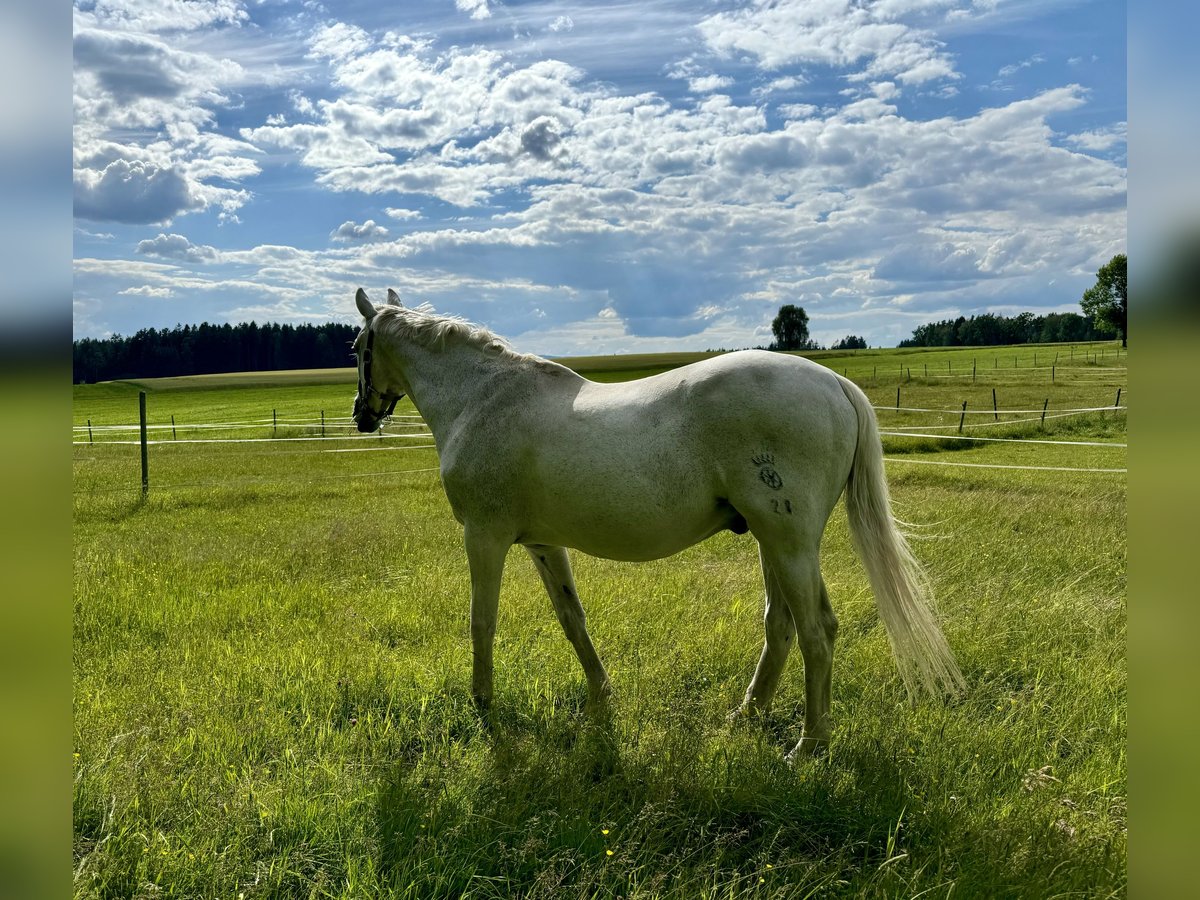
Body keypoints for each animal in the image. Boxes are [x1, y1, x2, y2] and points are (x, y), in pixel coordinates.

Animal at [350, 292, 964, 758]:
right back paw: (746, 714)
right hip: (772, 542)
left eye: (357, 348)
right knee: (781, 626)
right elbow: (572, 619)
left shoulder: (484, 536)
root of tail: (835, 384)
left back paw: (808, 744)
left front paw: (483, 704)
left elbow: (482, 623)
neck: (482, 398)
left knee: (817, 631)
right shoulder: (544, 544)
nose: (361, 415)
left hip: (789, 542)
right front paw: (600, 698)